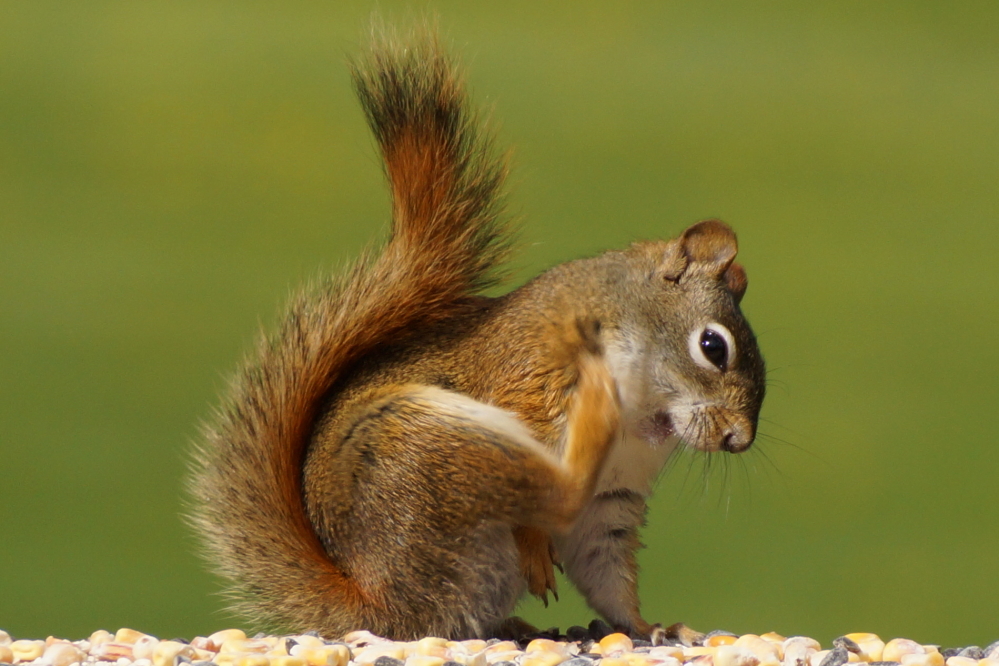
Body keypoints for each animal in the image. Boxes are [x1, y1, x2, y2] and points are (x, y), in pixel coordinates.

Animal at [188, 29, 766, 644]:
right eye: (713, 347)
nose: (739, 439)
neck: (644, 412)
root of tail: (379, 604)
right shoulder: (531, 380)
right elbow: (546, 518)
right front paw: (540, 553)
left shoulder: (614, 498)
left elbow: (604, 566)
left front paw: (649, 627)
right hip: (443, 450)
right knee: (557, 493)